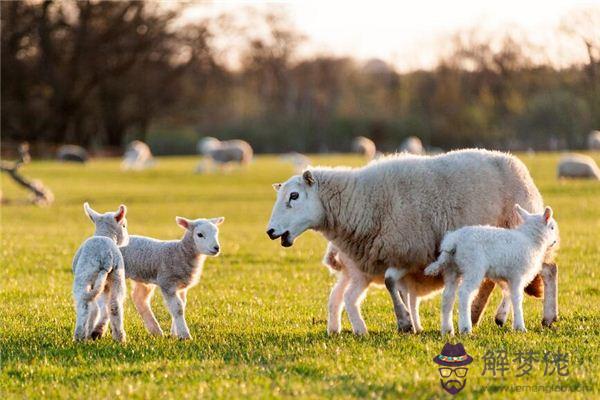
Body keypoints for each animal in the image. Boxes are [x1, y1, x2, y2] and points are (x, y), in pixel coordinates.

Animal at [72, 205, 129, 342]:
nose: (128, 239)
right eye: (124, 226)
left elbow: (94, 309)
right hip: (117, 276)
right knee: (114, 305)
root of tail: (106, 255)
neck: (104, 234)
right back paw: (120, 338)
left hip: (84, 275)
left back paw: (79, 337)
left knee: (84, 305)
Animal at [426, 205, 556, 336]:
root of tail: (453, 241)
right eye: (552, 227)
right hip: (473, 266)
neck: (530, 239)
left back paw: (447, 331)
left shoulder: (510, 278)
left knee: (448, 296)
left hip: (452, 268)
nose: (555, 242)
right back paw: (465, 329)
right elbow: (517, 299)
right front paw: (520, 327)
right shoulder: (517, 275)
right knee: (464, 293)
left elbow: (509, 295)